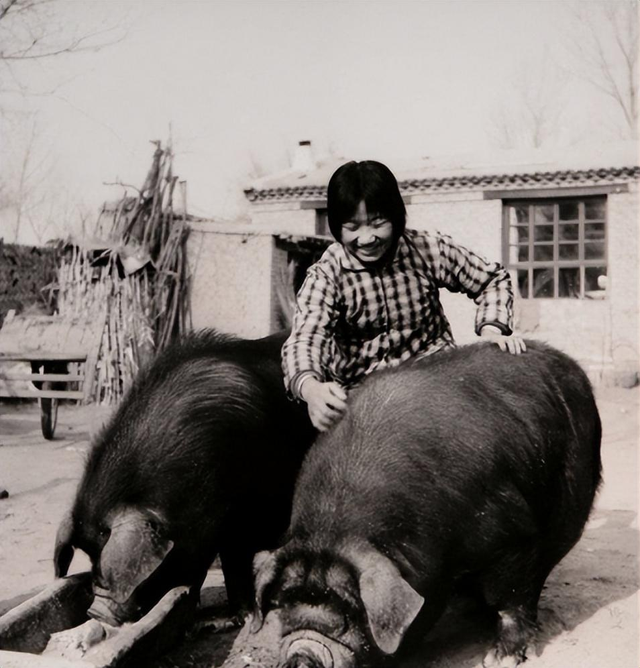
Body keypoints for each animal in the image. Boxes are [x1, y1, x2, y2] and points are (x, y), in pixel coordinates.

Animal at [54, 332, 316, 628]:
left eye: (104, 544)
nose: (95, 612)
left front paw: (242, 620)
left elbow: (234, 565)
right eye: (90, 556)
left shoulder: (236, 520)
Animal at [252, 342, 604, 668]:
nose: (304, 652)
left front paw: (499, 659)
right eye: (285, 602)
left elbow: (511, 597)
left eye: (351, 611)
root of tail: (570, 365)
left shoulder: (512, 531)